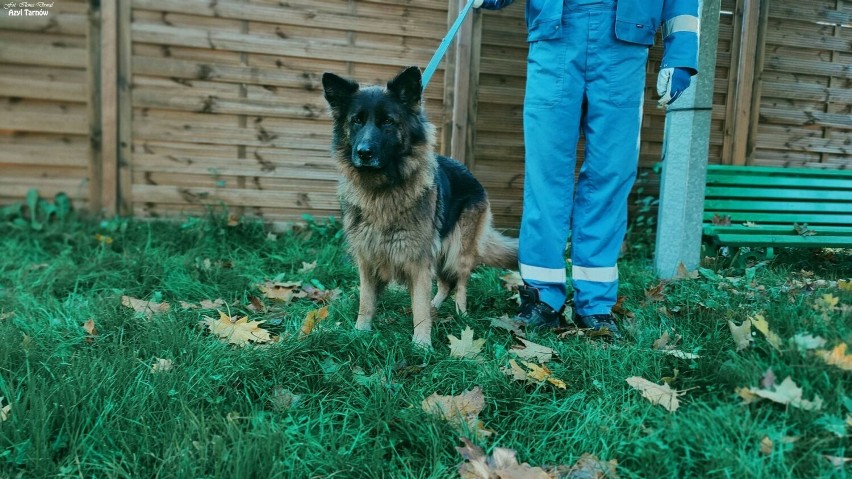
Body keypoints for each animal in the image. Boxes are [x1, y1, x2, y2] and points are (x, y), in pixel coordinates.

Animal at [322, 65, 516, 348]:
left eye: (388, 121)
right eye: (356, 120)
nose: (364, 153)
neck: (382, 190)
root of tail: (469, 172)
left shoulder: (419, 260)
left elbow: (419, 307)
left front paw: (422, 345)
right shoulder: (367, 259)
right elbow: (366, 302)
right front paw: (360, 333)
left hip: (458, 250)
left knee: (460, 283)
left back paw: (461, 314)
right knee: (445, 284)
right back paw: (438, 306)